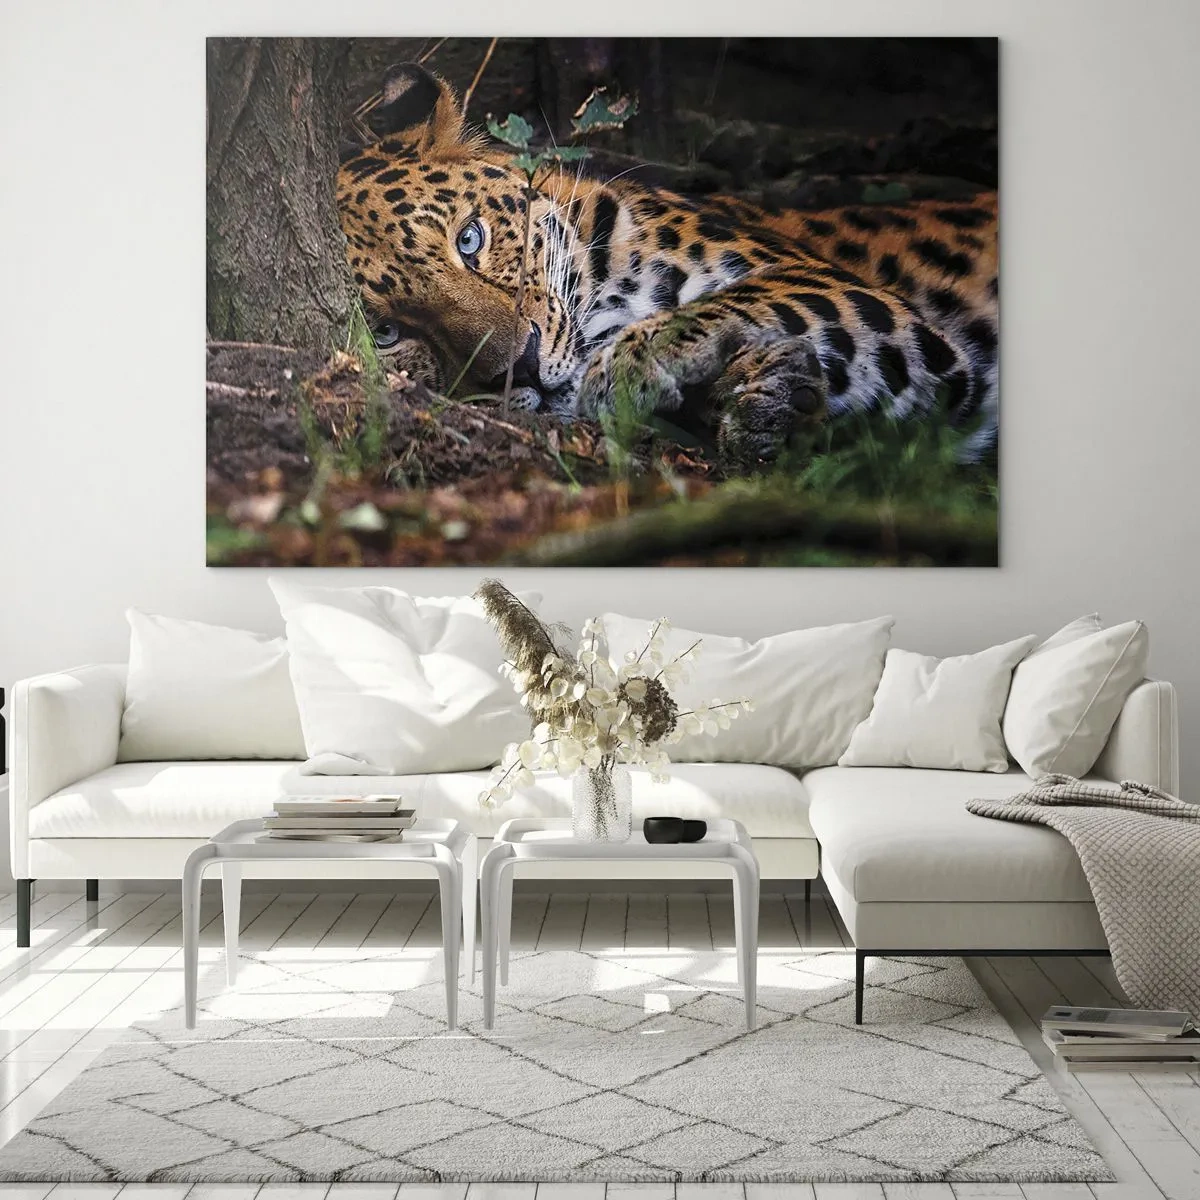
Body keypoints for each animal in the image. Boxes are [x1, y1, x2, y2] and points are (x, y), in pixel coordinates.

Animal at [336, 63, 998, 469]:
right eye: (387, 334)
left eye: (470, 239)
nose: (519, 367)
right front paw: (772, 403)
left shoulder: (839, 286)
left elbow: (747, 296)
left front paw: (634, 361)